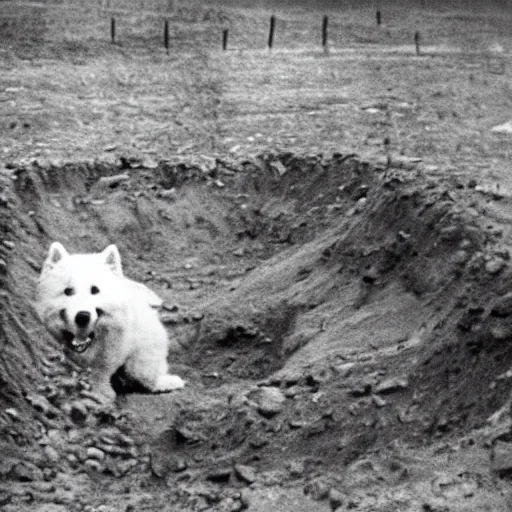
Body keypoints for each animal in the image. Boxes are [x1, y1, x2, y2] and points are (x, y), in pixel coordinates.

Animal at [37, 242, 186, 402]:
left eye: (95, 290)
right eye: (68, 291)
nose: (83, 316)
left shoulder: (114, 345)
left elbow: (102, 368)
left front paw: (101, 393)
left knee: (145, 371)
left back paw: (165, 382)